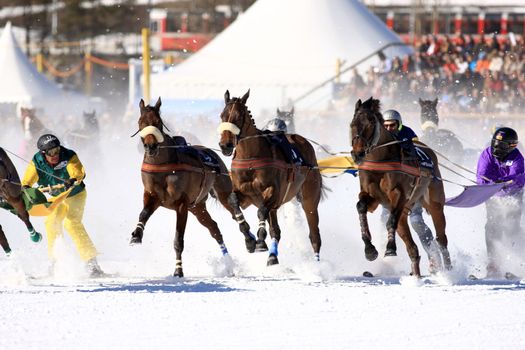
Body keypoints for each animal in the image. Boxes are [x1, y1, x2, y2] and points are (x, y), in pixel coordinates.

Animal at [129, 97, 256, 278]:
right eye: (141, 122)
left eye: (158, 122)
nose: (150, 146)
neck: (163, 165)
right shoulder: (152, 195)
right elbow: (144, 213)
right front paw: (136, 235)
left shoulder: (182, 205)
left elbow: (178, 240)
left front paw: (178, 270)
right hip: (197, 207)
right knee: (214, 228)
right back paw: (228, 263)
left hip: (221, 190)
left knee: (233, 210)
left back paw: (249, 239)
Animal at [217, 89, 324, 266]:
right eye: (222, 115)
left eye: (239, 116)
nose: (225, 145)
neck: (251, 158)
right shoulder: (246, 196)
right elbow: (234, 202)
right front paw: (250, 240)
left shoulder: (273, 193)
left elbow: (261, 211)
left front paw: (260, 242)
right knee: (276, 230)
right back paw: (273, 256)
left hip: (310, 194)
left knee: (314, 232)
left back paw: (317, 264)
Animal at [348, 98, 450, 276]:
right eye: (353, 124)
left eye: (370, 122)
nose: (357, 154)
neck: (380, 161)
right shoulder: (372, 196)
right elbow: (361, 206)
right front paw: (370, 249)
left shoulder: (399, 195)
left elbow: (391, 221)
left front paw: (389, 249)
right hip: (405, 211)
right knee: (412, 247)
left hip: (434, 202)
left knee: (441, 238)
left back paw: (449, 270)